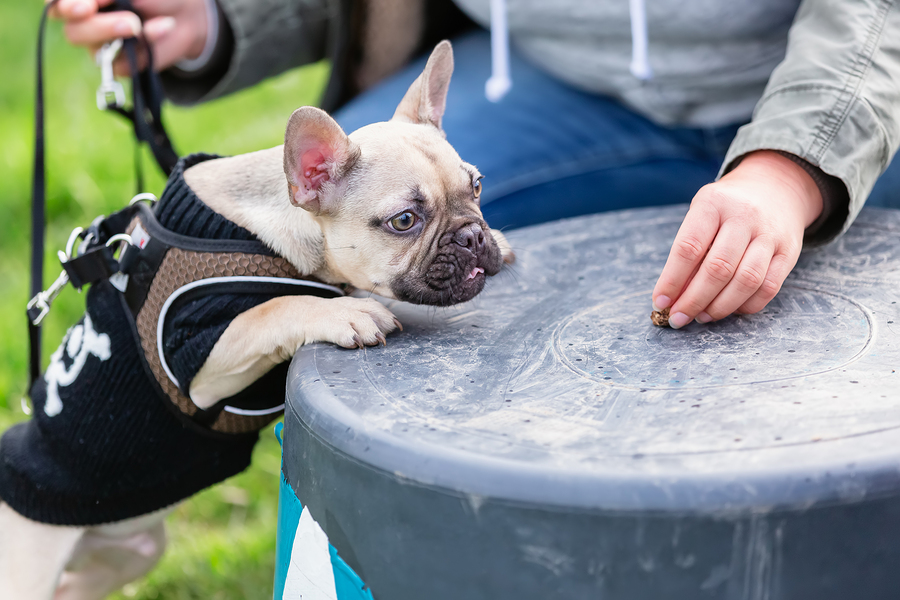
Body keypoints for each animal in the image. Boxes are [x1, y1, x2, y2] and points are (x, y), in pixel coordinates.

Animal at [0, 41, 512, 600]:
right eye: (405, 221)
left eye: (477, 186)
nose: (473, 235)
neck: (269, 230)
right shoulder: (193, 360)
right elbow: (278, 306)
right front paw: (345, 311)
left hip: (127, 557)